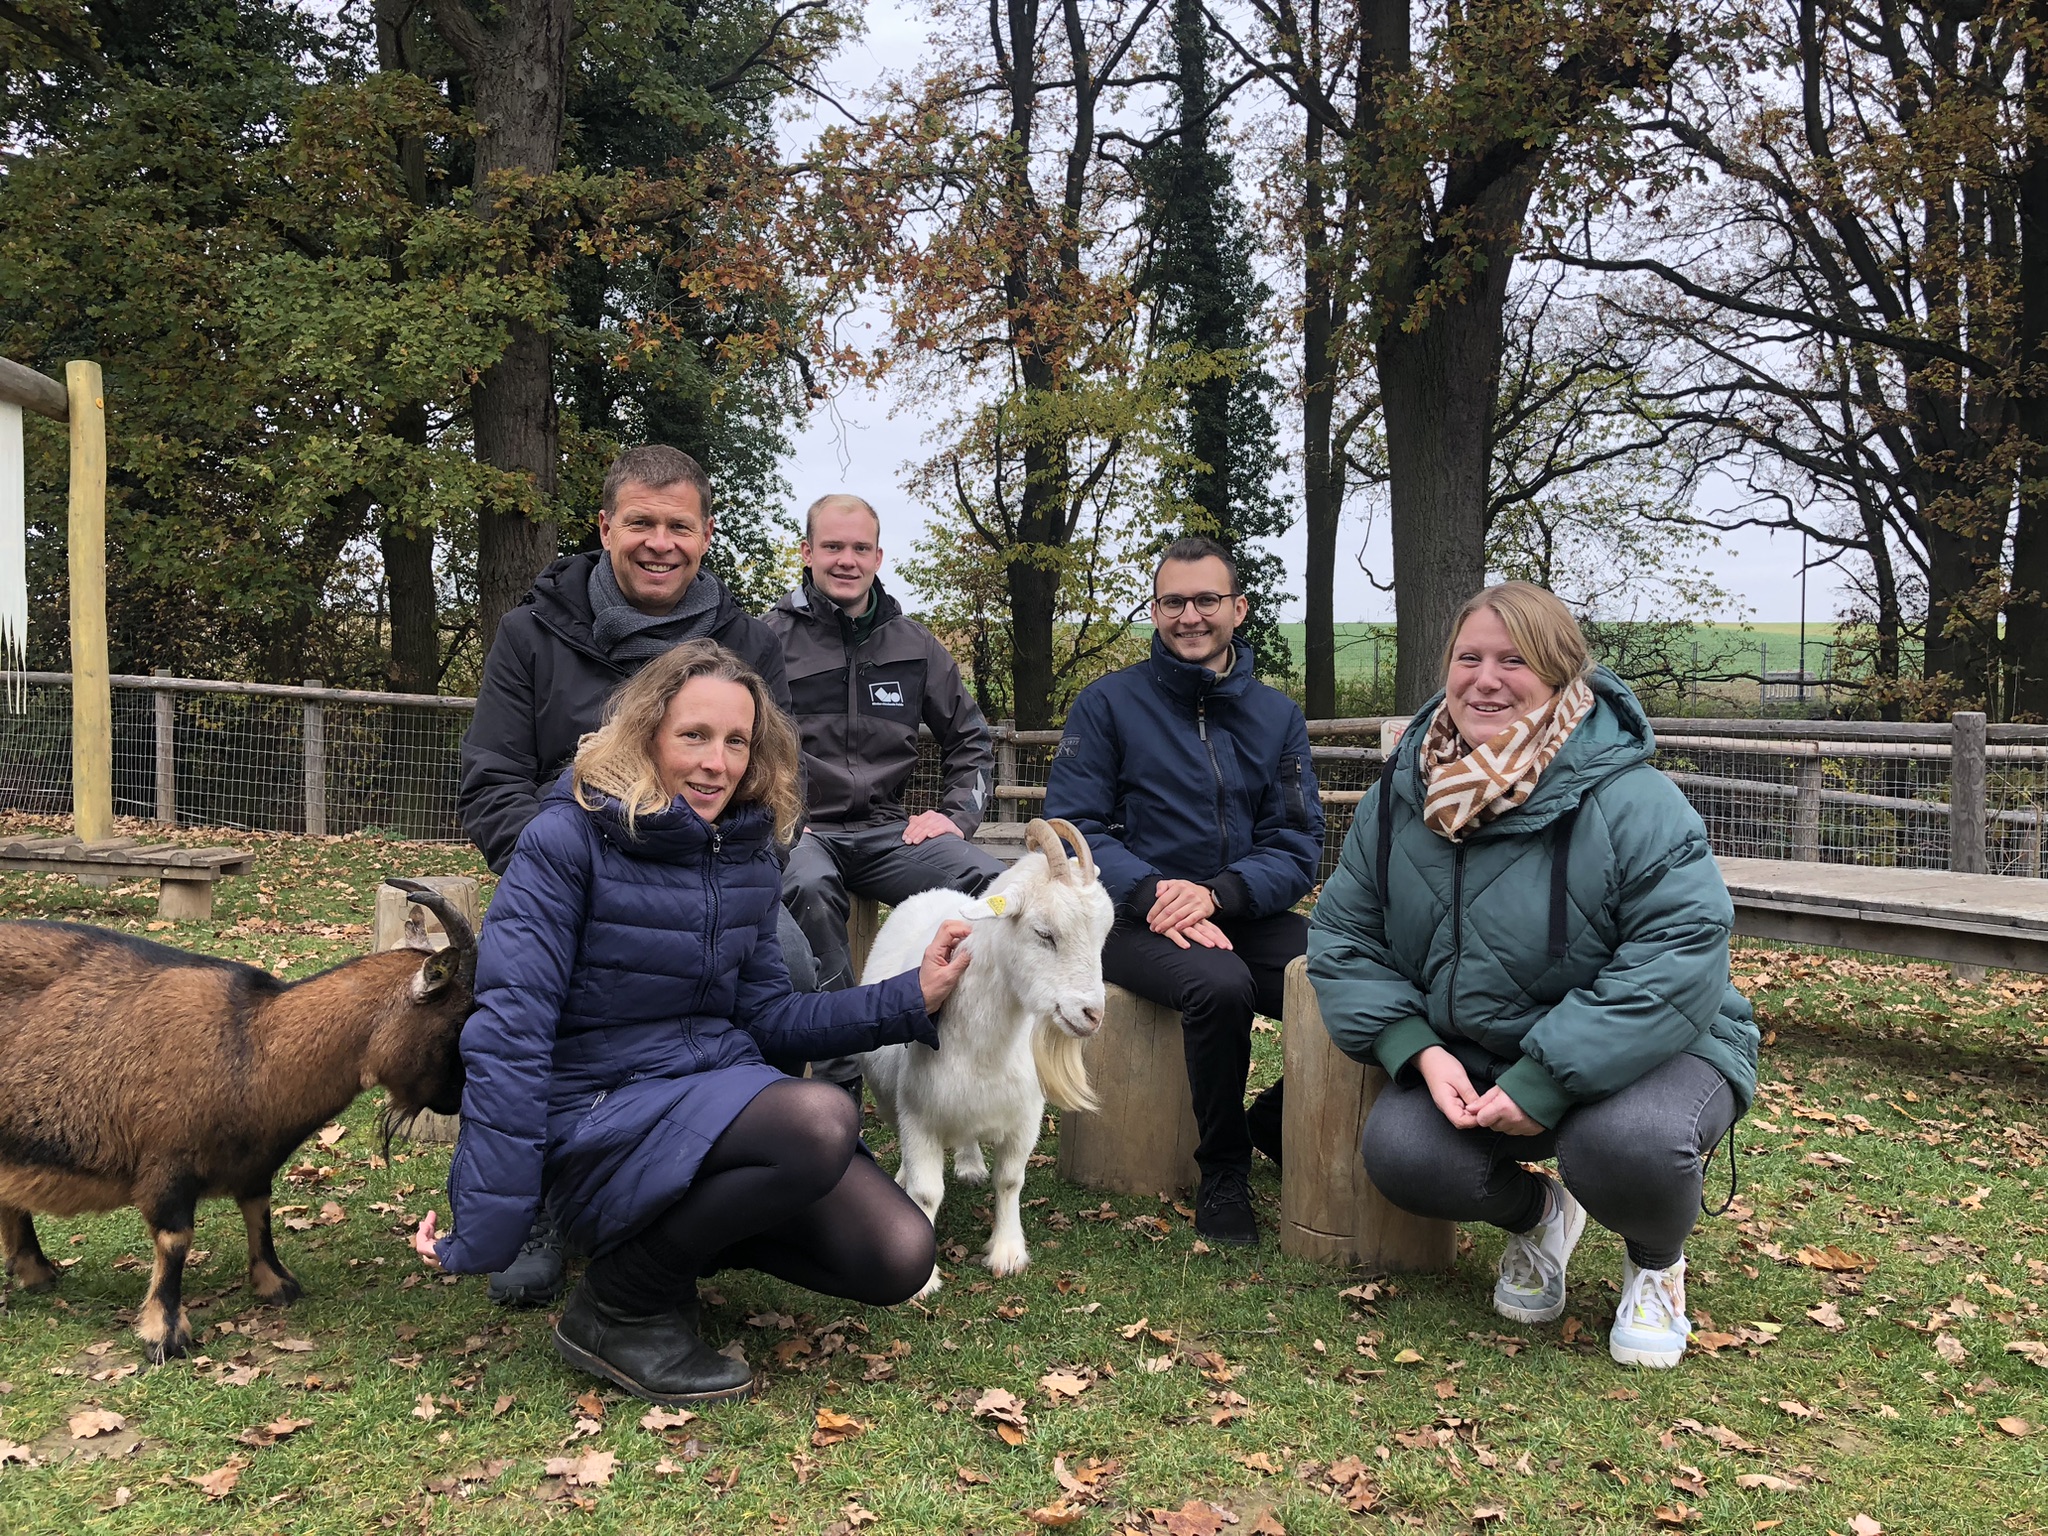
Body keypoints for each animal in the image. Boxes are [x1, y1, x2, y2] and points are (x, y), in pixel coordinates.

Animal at [0, 884, 471, 1368]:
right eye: (459, 1019)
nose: (456, 1100)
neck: (252, 1042)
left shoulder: (255, 1162)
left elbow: (258, 1215)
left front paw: (276, 1285)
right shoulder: (167, 1163)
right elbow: (175, 1240)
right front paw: (165, 1335)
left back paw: (36, 1271)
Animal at [856, 819, 1114, 1302]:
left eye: (1103, 935)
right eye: (1044, 933)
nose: (1092, 1014)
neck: (984, 1046)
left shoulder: (1024, 1118)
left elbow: (1010, 1182)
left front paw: (1007, 1252)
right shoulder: (919, 1116)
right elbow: (926, 1192)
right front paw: (924, 1281)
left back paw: (971, 1164)